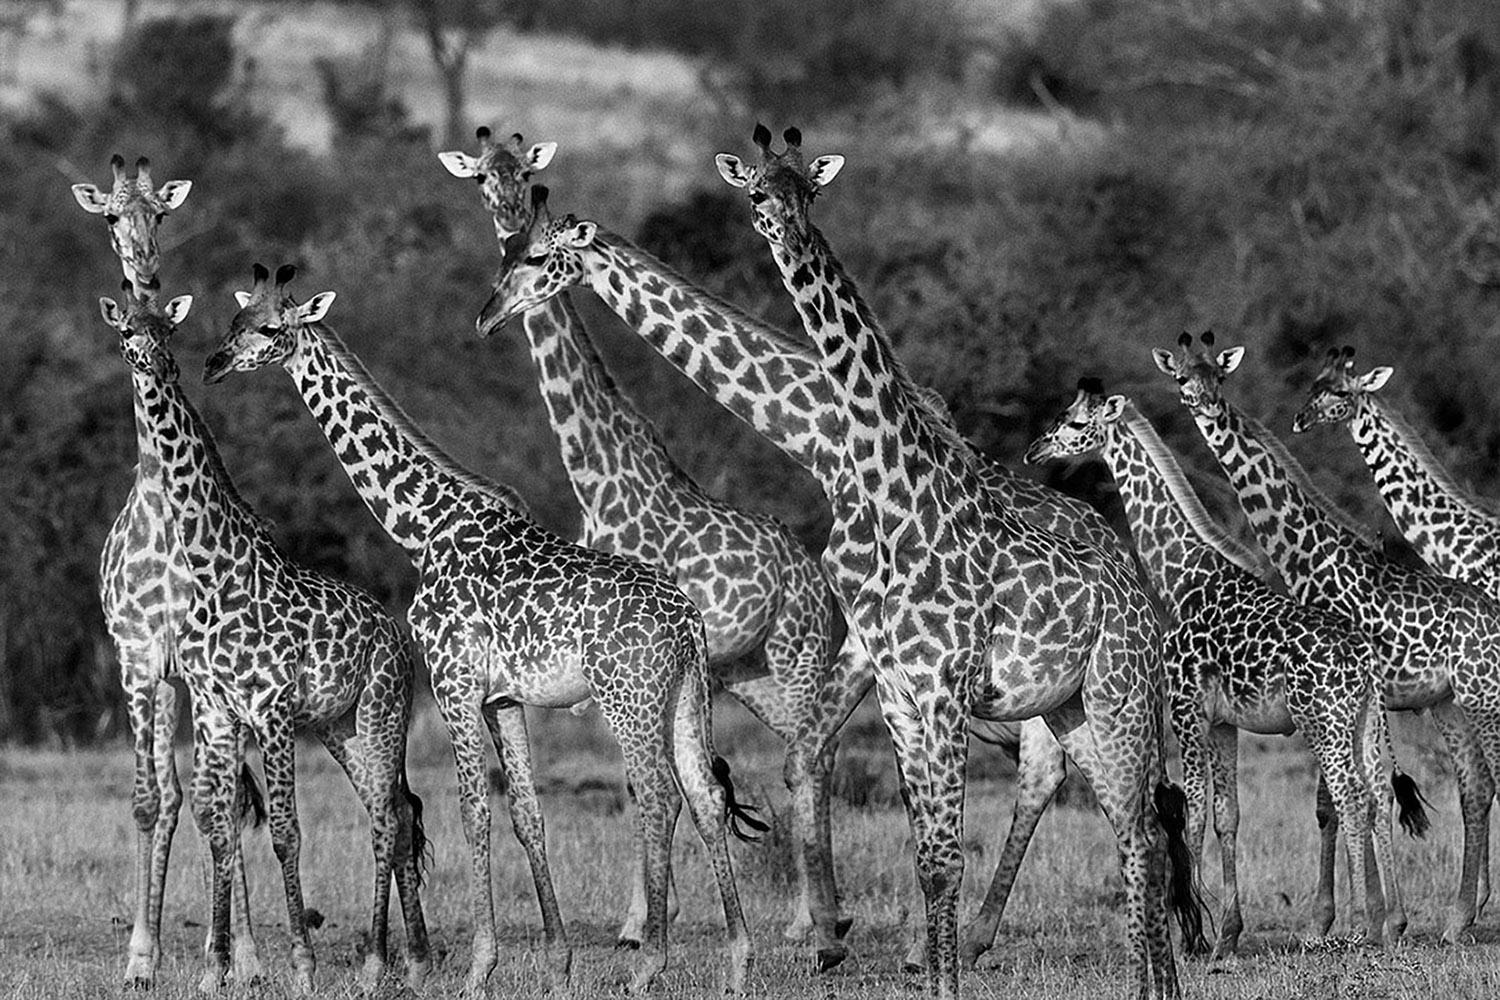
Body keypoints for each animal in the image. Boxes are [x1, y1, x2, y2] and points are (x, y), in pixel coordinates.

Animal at [98, 284, 430, 994]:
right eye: (126, 333)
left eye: (165, 330)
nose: (154, 364)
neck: (214, 570)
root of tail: (395, 631)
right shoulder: (218, 710)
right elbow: (221, 827)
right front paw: (214, 969)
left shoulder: (271, 708)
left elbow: (284, 831)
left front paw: (301, 968)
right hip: (340, 725)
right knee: (392, 811)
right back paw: (413, 962)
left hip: (383, 713)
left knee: (388, 818)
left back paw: (381, 962)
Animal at [204, 263, 760, 995]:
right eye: (234, 322)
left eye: (269, 329)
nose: (213, 363)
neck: (422, 529)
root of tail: (690, 621)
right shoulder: (503, 697)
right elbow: (526, 813)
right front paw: (557, 962)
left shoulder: (454, 683)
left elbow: (473, 812)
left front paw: (478, 967)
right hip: (686, 699)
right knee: (705, 795)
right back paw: (740, 960)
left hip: (628, 699)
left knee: (659, 797)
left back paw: (651, 963)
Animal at [439, 132, 863, 967]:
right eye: (483, 186)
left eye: (535, 251)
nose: (485, 316)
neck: (600, 475)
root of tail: (812, 573)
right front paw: (638, 925)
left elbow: (648, 783)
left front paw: (641, 929)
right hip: (744, 674)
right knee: (797, 752)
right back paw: (814, 920)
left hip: (796, 656)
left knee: (816, 754)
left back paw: (816, 924)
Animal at [488, 147, 1201, 1000]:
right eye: (506, 241)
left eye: (536, 255)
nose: (488, 312)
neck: (826, 442)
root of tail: (1126, 564)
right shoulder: (889, 673)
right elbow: (891, 818)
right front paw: (853, 939)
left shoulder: (898, 663)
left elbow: (828, 770)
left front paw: (832, 936)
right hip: (1062, 703)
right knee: (1121, 811)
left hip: (1104, 697)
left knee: (1112, 805)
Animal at [1026, 378, 1421, 953]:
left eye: (1076, 423)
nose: (1035, 450)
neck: (1181, 576)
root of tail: (1363, 659)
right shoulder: (1224, 722)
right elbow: (1226, 816)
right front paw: (1227, 933)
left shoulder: (1186, 708)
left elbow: (1190, 815)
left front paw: (1188, 935)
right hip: (1365, 719)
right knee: (1378, 794)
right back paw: (1393, 922)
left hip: (1321, 720)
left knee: (1350, 797)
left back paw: (1356, 927)